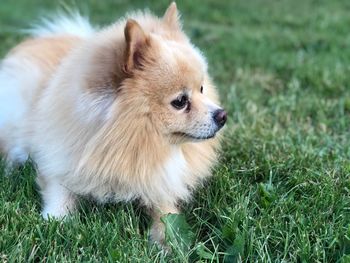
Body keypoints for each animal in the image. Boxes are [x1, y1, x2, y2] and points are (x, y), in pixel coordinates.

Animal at [0, 2, 226, 245]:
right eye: (180, 102)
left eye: (202, 89)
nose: (222, 115)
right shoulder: (60, 162)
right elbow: (59, 196)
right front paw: (56, 223)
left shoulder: (157, 181)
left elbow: (165, 213)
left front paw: (168, 242)